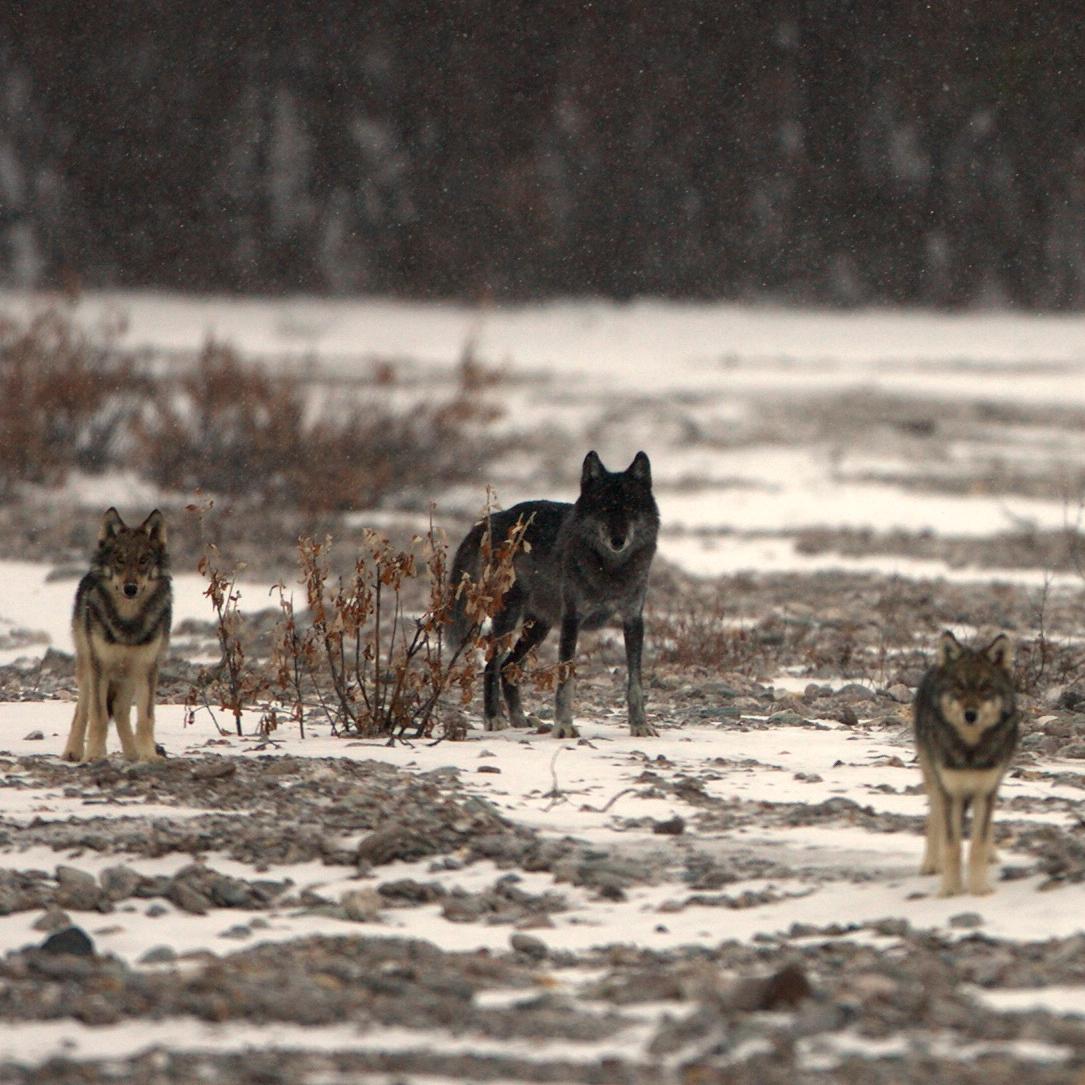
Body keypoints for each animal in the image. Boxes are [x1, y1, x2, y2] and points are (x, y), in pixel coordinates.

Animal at [62, 508, 172, 763]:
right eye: (120, 559)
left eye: (143, 560)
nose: (130, 588)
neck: (127, 622)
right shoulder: (99, 667)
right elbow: (99, 716)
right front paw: (93, 755)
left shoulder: (147, 668)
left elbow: (145, 719)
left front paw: (148, 755)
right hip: (87, 670)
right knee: (83, 710)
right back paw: (74, 751)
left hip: (127, 677)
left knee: (122, 712)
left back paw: (132, 754)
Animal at [451, 450, 659, 739]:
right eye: (604, 509)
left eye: (630, 509)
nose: (618, 541)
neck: (611, 569)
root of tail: (492, 520)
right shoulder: (572, 620)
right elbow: (565, 681)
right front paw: (564, 726)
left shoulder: (633, 620)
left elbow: (635, 683)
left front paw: (640, 724)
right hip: (510, 619)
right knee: (492, 665)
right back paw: (494, 719)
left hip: (540, 626)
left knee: (508, 666)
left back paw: (519, 719)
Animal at [913, 630, 1019, 896]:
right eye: (959, 687)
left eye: (985, 688)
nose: (970, 715)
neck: (970, 749)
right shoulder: (950, 792)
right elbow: (952, 846)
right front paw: (951, 890)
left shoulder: (985, 790)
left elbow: (978, 844)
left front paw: (979, 889)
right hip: (933, 780)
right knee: (934, 818)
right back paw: (931, 863)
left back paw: (992, 855)